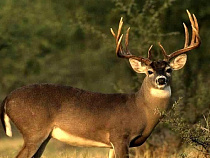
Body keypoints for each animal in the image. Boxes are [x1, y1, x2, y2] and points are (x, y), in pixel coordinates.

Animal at [0, 10, 200, 157]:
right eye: (149, 71)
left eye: (169, 69)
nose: (161, 80)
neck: (140, 109)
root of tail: (7, 99)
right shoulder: (120, 136)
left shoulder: (112, 144)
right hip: (33, 131)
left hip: (43, 136)